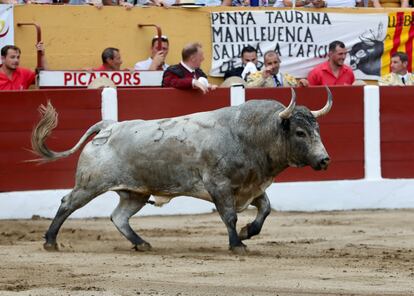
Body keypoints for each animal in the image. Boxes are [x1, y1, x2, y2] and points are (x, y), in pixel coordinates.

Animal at [30, 88, 332, 254]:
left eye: (317, 129)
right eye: (300, 132)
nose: (324, 160)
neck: (252, 135)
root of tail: (109, 125)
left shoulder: (251, 185)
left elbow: (266, 209)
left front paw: (248, 232)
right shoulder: (219, 185)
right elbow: (230, 216)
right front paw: (237, 244)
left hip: (135, 192)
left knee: (119, 216)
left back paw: (141, 243)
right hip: (90, 184)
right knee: (68, 204)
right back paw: (50, 242)